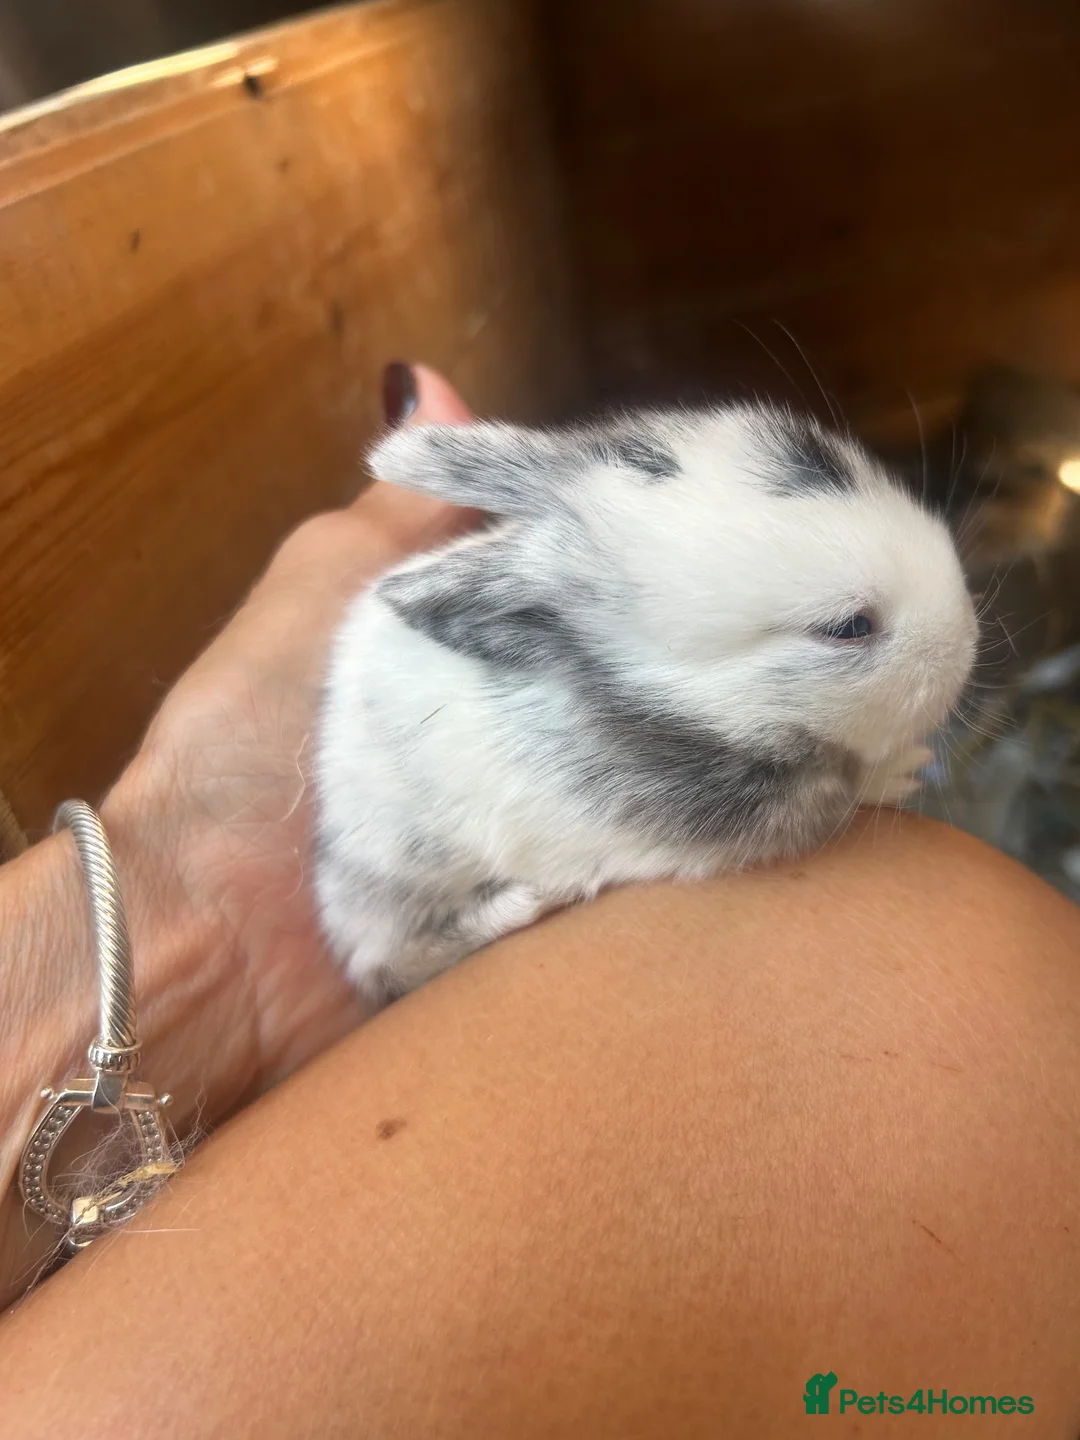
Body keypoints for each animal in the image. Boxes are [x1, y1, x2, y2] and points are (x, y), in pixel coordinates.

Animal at [315, 403, 979, 1004]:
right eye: (848, 628)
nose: (970, 639)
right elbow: (847, 789)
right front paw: (903, 773)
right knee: (389, 965)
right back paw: (527, 903)